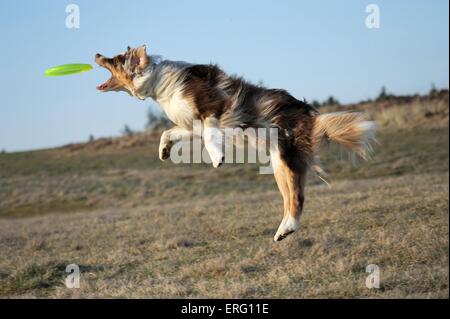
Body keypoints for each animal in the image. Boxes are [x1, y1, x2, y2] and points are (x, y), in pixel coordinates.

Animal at [96, 45, 376, 242]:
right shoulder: (190, 125)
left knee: (297, 198)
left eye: (115, 59)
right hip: (279, 165)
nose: (96, 53)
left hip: (287, 158)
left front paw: (217, 157)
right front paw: (164, 151)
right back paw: (283, 231)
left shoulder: (212, 107)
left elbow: (210, 134)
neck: (158, 81)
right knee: (291, 198)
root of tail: (311, 116)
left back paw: (286, 228)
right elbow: (168, 133)